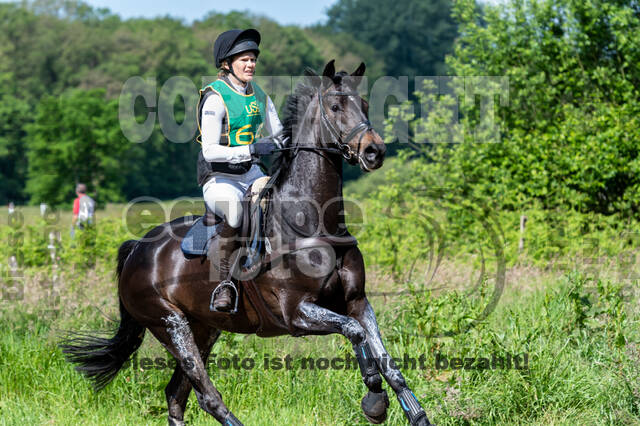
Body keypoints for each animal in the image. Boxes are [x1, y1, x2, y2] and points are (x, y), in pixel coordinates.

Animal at [60, 60, 432, 426]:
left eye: (365, 105)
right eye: (336, 106)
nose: (374, 151)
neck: (310, 220)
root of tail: (137, 247)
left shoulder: (357, 301)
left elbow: (385, 358)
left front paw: (413, 413)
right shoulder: (297, 312)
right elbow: (355, 333)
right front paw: (374, 398)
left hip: (204, 327)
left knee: (176, 395)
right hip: (170, 324)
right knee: (206, 394)